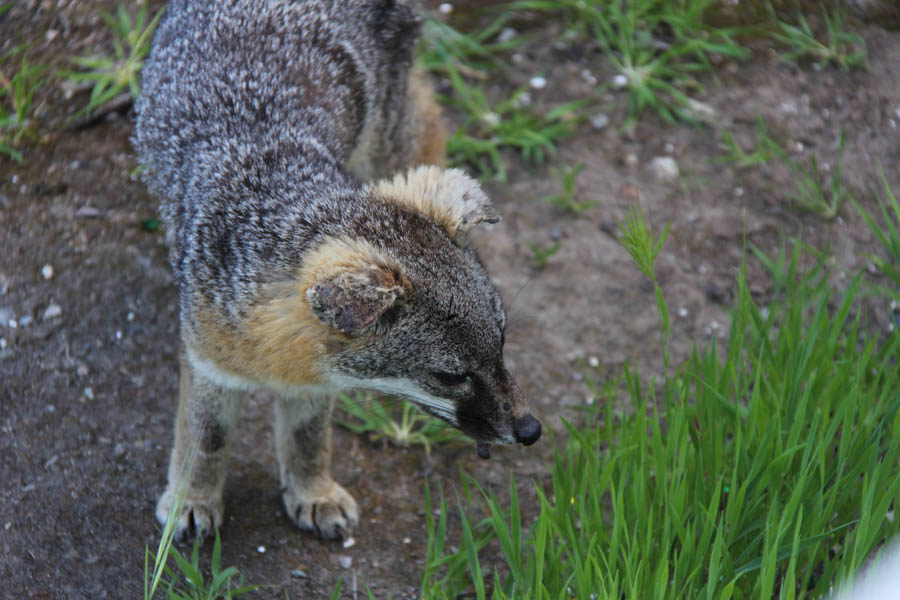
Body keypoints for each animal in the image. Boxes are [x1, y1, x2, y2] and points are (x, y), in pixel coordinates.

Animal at [134, 0, 540, 540]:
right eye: (450, 376)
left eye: (502, 345)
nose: (531, 430)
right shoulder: (208, 360)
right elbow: (206, 440)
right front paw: (191, 499)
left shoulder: (312, 380)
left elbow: (307, 437)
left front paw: (313, 492)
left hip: (385, 141)